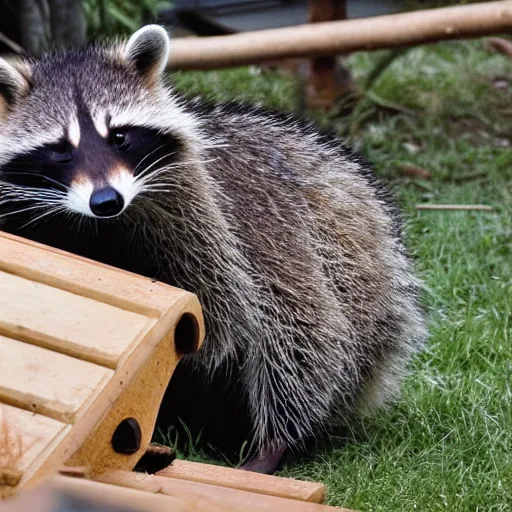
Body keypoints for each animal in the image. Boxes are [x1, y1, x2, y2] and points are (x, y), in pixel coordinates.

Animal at [0, 27, 426, 476]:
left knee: (298, 330)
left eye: (119, 135)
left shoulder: (212, 216)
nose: (106, 200)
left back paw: (276, 438)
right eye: (61, 148)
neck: (96, 225)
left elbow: (227, 318)